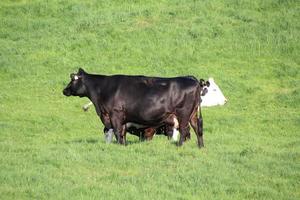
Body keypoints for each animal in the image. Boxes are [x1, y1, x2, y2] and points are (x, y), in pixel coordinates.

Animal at [62, 68, 209, 148]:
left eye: (73, 79)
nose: (64, 90)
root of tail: (192, 79)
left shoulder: (115, 114)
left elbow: (117, 131)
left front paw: (121, 146)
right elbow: (121, 132)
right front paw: (123, 144)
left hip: (183, 113)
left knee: (184, 130)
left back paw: (179, 145)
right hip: (193, 114)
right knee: (198, 128)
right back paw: (201, 146)